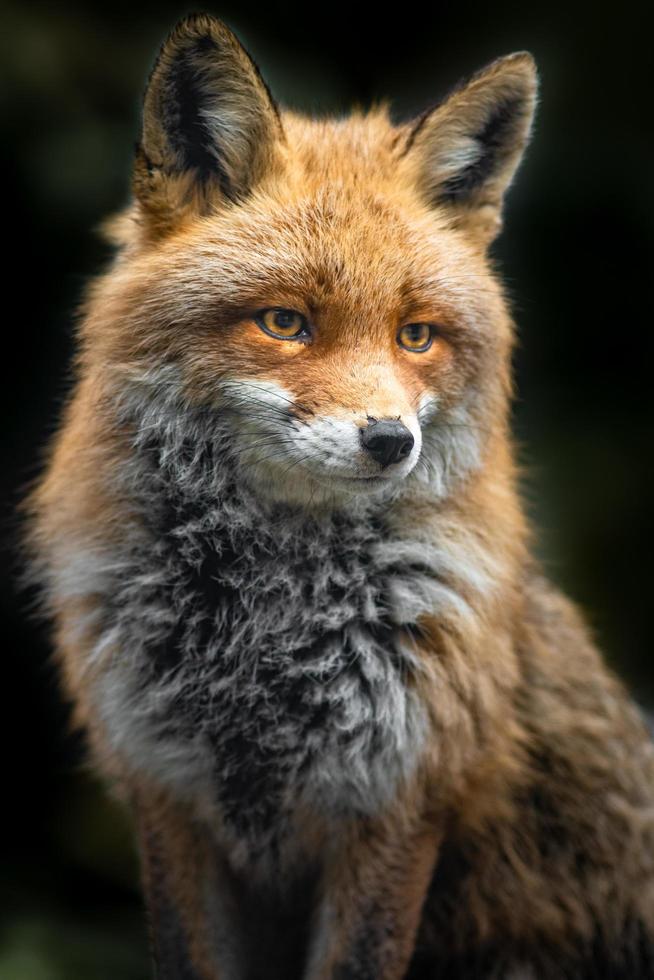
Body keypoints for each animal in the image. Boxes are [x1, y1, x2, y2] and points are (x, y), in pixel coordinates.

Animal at [25, 11, 654, 976]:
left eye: (415, 335)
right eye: (285, 323)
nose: (391, 441)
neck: (264, 629)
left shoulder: (397, 803)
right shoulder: (166, 798)